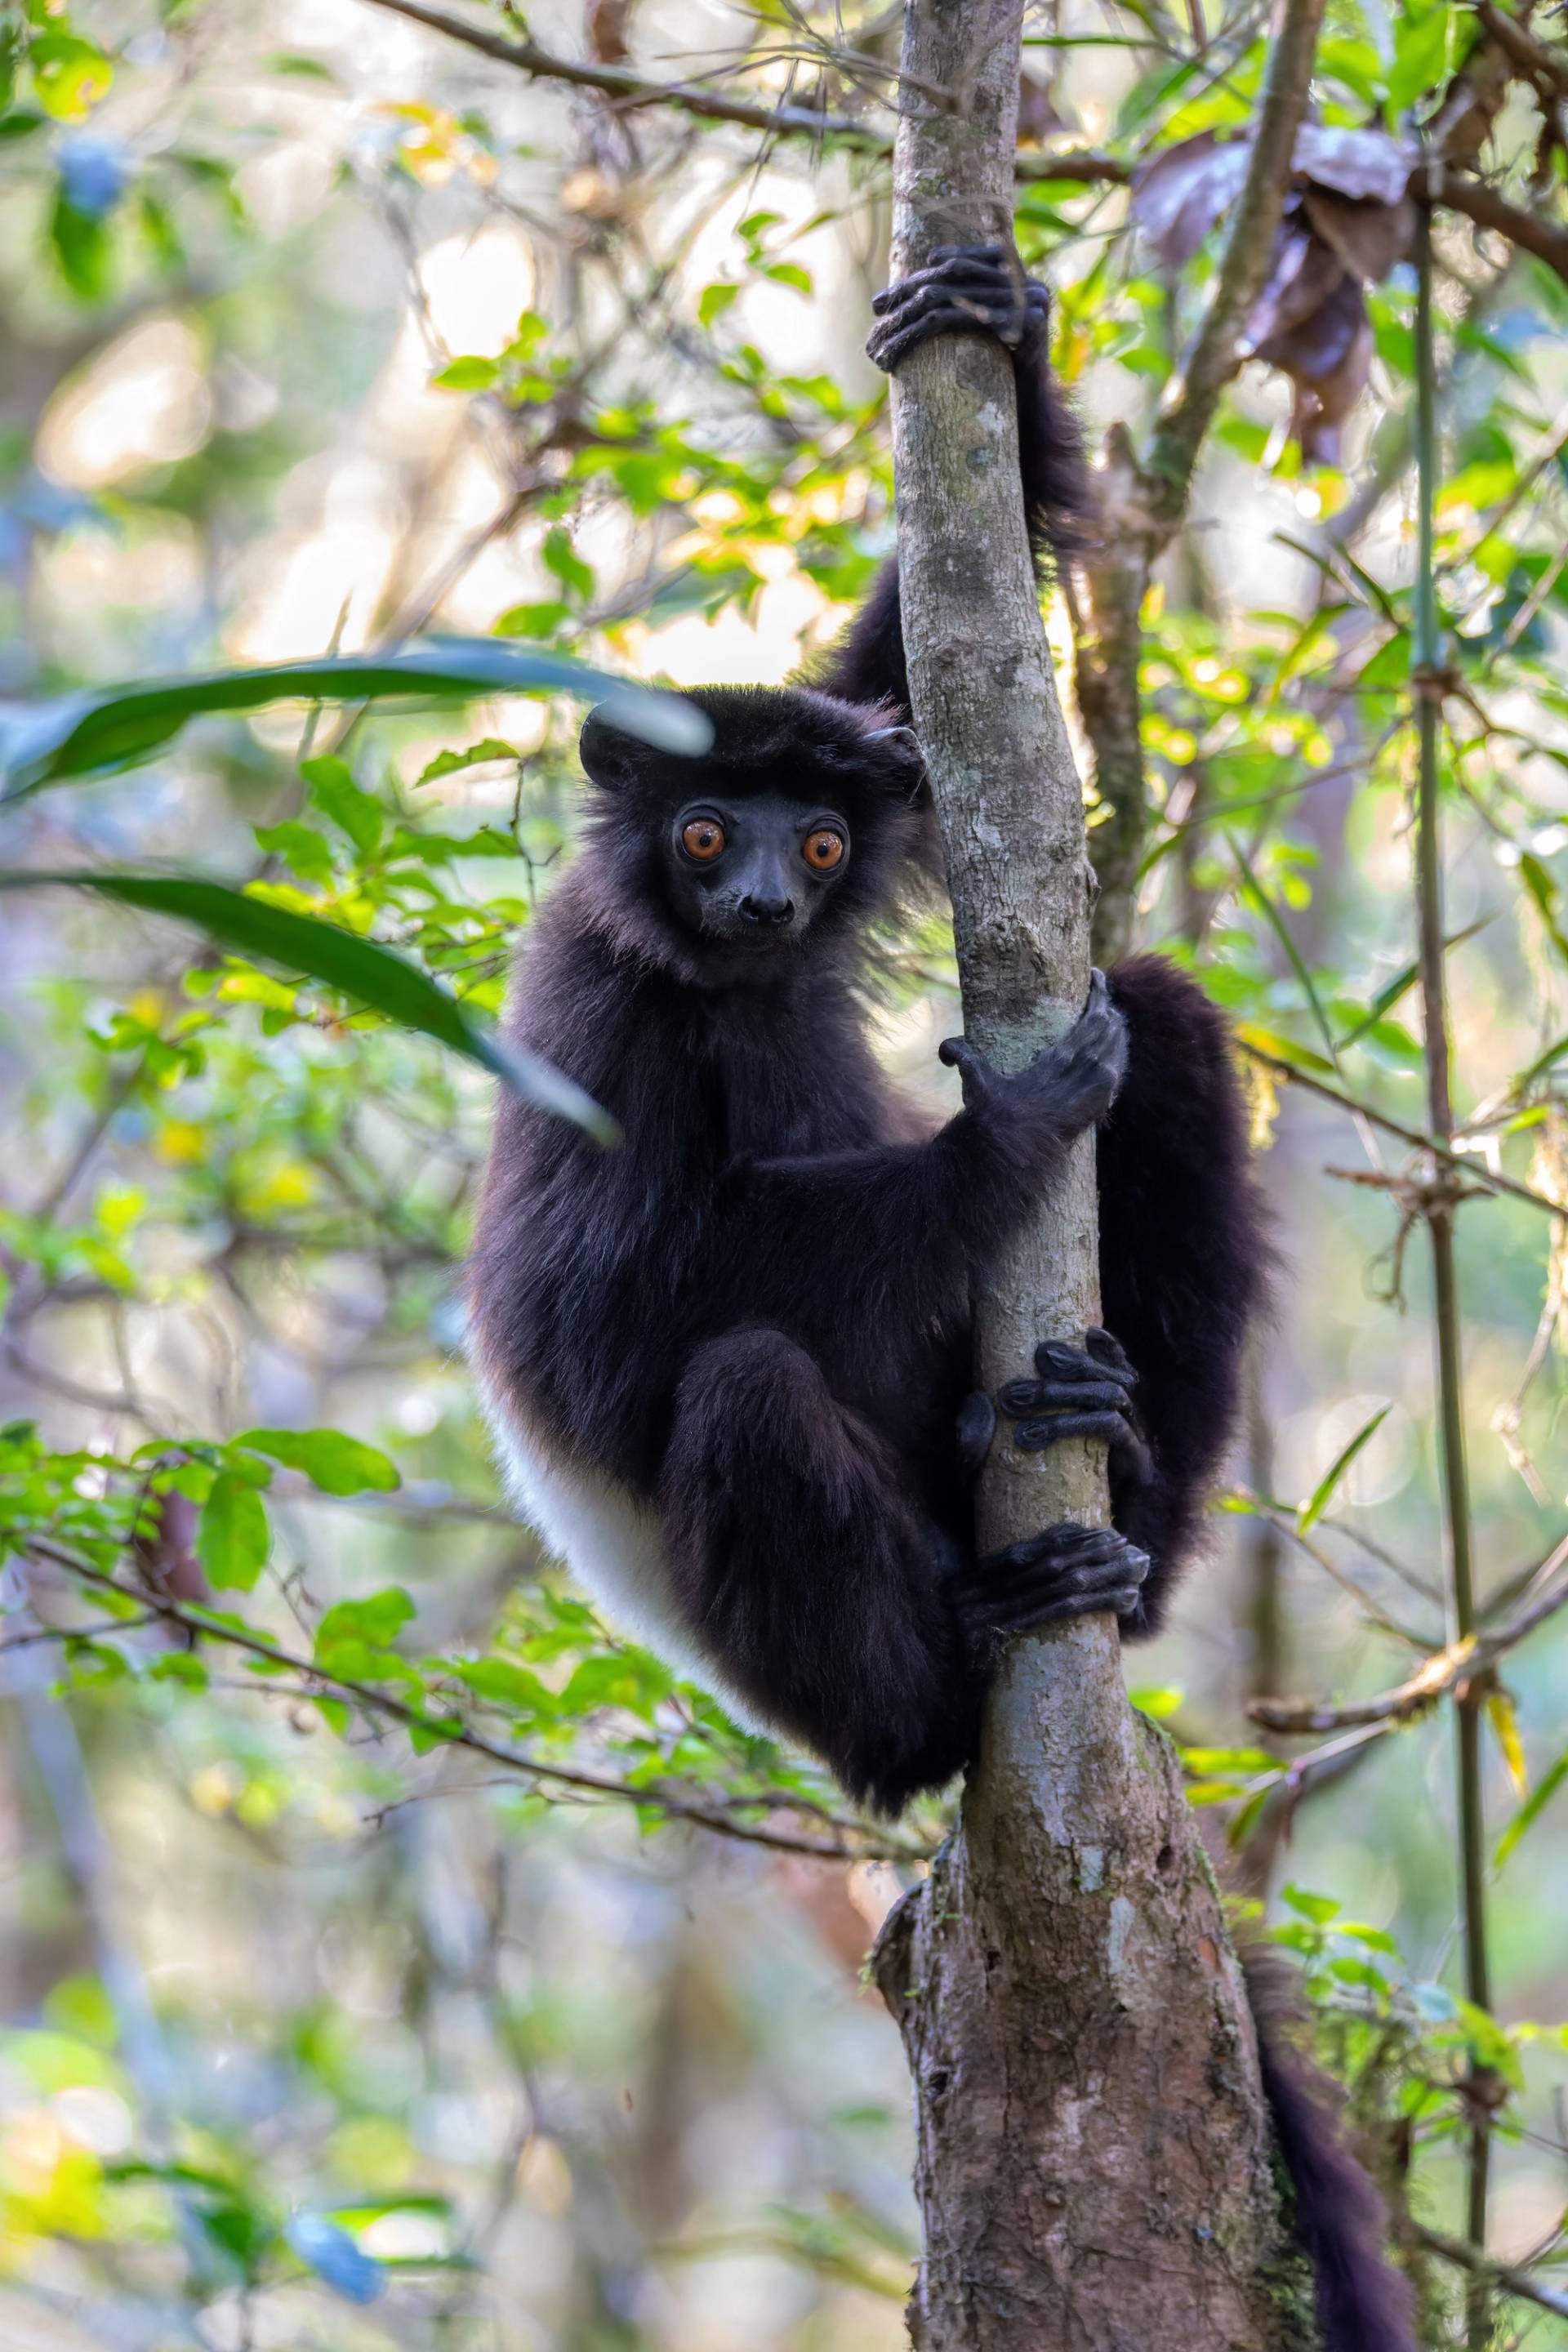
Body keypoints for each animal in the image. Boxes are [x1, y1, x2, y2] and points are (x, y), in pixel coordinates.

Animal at [468, 245, 1416, 2351]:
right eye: (703, 834)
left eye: (817, 843)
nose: (759, 902)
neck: (731, 984)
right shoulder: (602, 1008)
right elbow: (605, 1327)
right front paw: (1007, 1135)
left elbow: (900, 674)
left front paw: (990, 319)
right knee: (744, 1391)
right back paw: (962, 1650)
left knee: (1165, 1015)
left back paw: (1102, 1489)